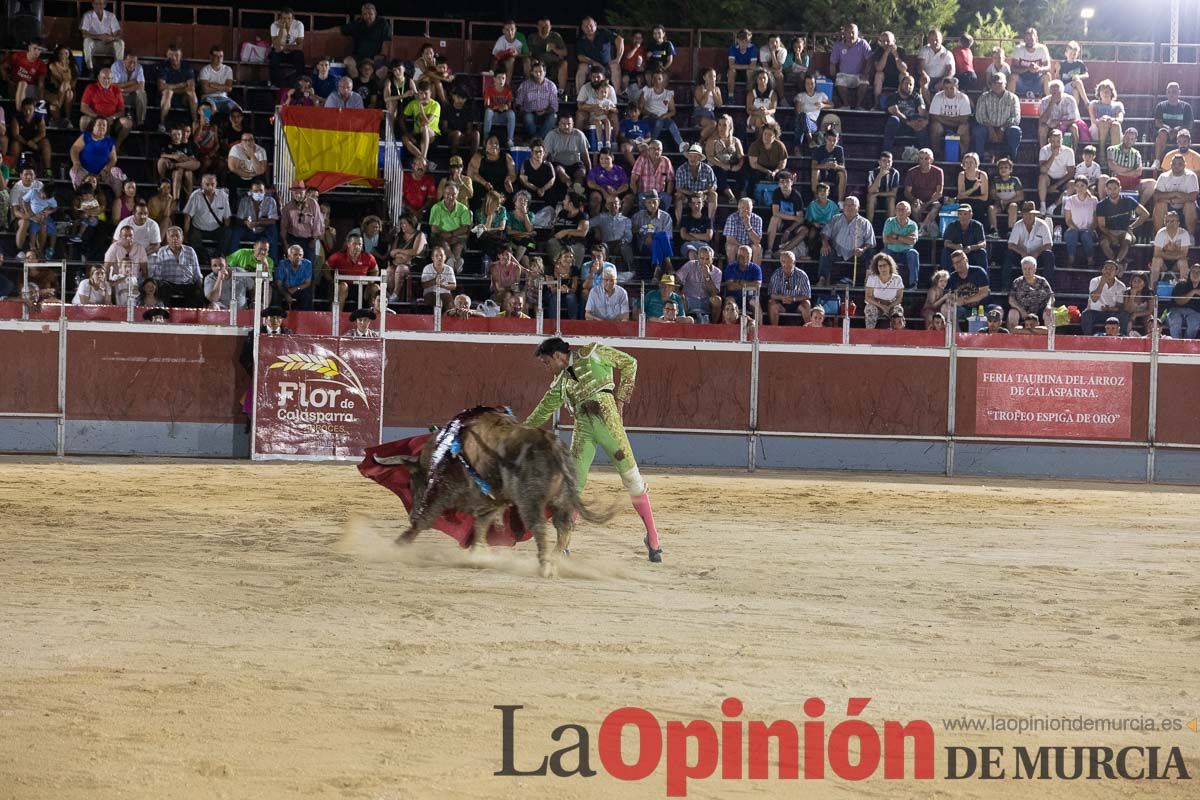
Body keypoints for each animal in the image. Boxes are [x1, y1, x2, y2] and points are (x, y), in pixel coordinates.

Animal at [362, 410, 609, 578]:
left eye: (413, 481)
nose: (411, 514)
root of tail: (552, 445)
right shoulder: (491, 502)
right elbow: (480, 527)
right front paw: (476, 554)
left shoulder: (445, 490)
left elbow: (427, 520)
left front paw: (398, 544)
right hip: (562, 501)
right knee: (564, 529)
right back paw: (555, 561)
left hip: (529, 501)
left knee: (540, 527)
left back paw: (545, 566)